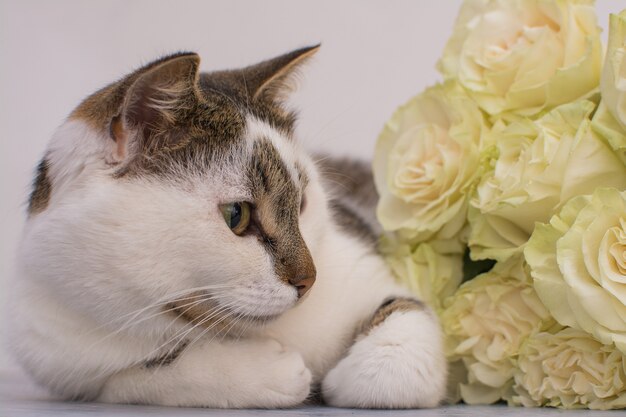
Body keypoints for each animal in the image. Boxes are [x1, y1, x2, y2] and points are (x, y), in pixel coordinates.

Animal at [9, 45, 446, 406]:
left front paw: (343, 378)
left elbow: (392, 367)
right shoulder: (61, 358)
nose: (309, 281)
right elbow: (135, 378)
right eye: (237, 215)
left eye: (302, 204)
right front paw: (265, 372)